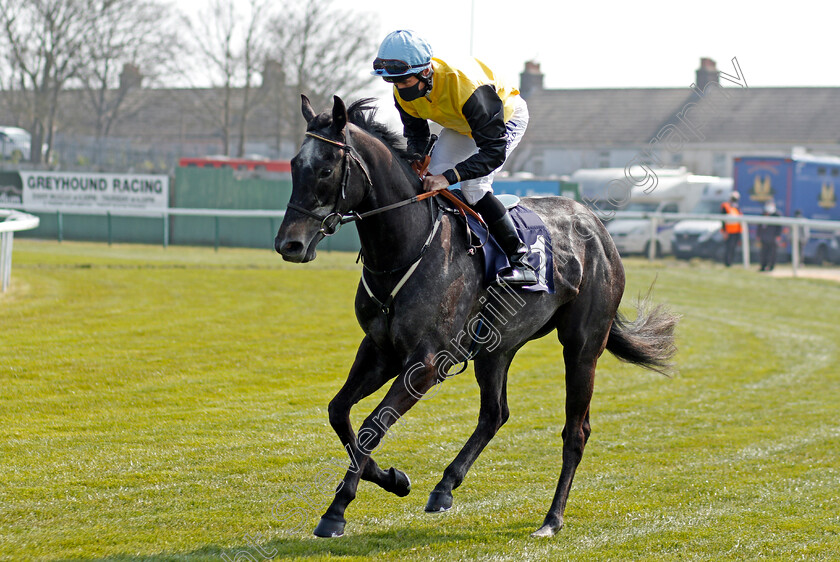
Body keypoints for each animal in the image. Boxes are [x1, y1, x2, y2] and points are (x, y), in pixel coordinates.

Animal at [272, 94, 680, 536]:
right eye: (294, 165)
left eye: (326, 169)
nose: (289, 244)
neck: (408, 246)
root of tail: (596, 225)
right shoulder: (380, 350)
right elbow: (339, 413)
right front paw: (393, 479)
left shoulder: (425, 364)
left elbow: (372, 425)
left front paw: (336, 511)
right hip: (496, 347)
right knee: (494, 413)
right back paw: (445, 487)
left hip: (583, 347)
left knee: (576, 431)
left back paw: (551, 519)